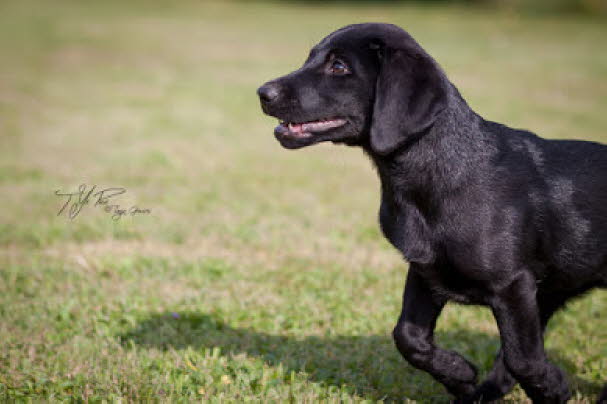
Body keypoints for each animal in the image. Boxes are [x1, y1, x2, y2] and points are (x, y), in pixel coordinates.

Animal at [258, 22, 607, 404]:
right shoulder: (426, 270)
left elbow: (522, 358)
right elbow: (408, 337)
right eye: (310, 58)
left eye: (339, 67)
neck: (439, 173)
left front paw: (554, 388)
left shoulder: (514, 285)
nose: (263, 93)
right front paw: (460, 375)